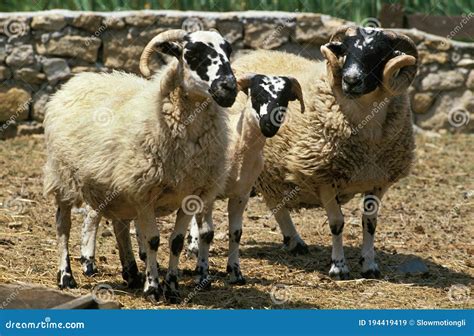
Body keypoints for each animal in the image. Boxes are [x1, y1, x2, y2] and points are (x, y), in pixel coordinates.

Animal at [43, 28, 239, 302]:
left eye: (228, 52)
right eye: (191, 54)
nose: (229, 88)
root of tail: (75, 81)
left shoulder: (188, 194)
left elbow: (176, 242)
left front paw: (172, 288)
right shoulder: (145, 191)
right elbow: (153, 240)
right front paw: (153, 288)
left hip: (116, 189)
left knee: (120, 226)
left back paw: (131, 273)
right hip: (62, 177)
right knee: (63, 226)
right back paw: (66, 276)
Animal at [185, 72, 304, 284]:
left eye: (284, 98)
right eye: (256, 94)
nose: (269, 124)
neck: (238, 146)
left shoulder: (242, 194)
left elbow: (236, 233)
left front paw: (235, 273)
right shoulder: (209, 193)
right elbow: (207, 233)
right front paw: (203, 274)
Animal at [230, 25, 418, 280]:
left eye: (380, 54)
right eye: (345, 50)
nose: (350, 80)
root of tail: (248, 55)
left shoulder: (378, 181)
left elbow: (370, 223)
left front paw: (370, 265)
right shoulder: (322, 177)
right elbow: (337, 223)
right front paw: (338, 267)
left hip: (268, 171)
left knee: (274, 201)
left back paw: (295, 242)